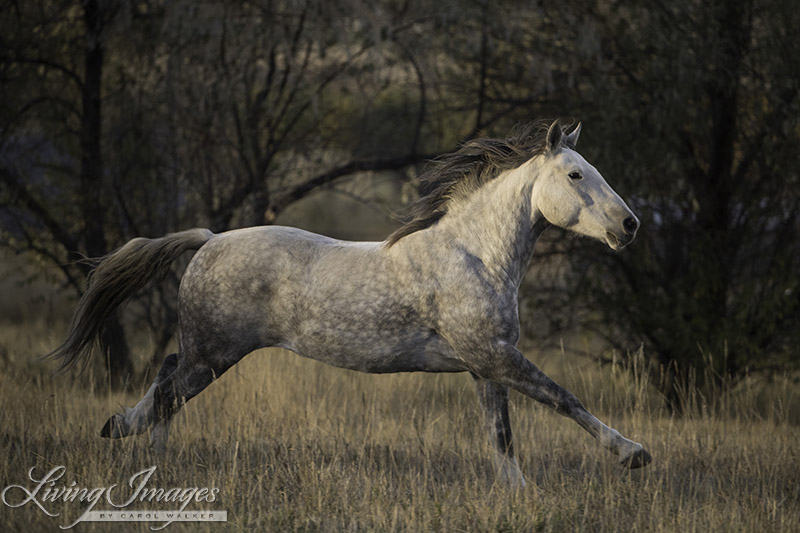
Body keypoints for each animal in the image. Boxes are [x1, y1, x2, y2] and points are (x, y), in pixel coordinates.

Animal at [48, 118, 648, 484]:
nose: (629, 226)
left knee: (166, 379)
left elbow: (501, 435)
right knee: (169, 388)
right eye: (575, 173)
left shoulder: (485, 364)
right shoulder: (494, 356)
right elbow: (563, 398)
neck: (475, 255)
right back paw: (127, 437)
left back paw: (151, 457)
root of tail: (208, 239)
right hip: (213, 353)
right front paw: (633, 454)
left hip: (205, 353)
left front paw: (516, 491)